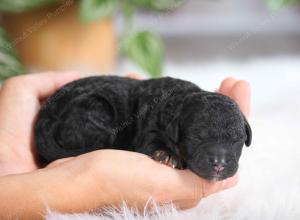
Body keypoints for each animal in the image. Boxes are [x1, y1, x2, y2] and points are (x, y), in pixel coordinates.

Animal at [34, 75, 251, 180]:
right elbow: (152, 142)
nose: (219, 163)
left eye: (237, 140)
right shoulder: (148, 131)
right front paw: (167, 156)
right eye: (197, 137)